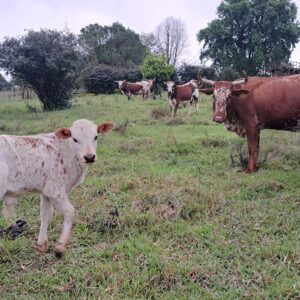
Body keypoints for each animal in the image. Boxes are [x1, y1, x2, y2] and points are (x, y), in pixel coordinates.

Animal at [0, 119, 114, 258]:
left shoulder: (46, 191)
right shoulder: (55, 190)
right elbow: (70, 211)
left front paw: (42, 245)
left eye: (96, 137)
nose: (89, 157)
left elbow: (46, 215)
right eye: (75, 139)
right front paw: (60, 247)